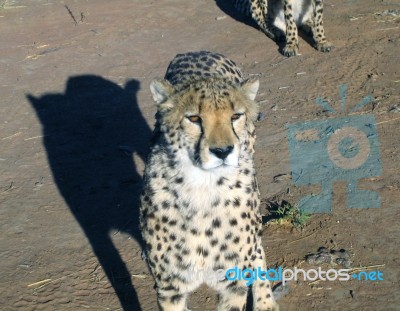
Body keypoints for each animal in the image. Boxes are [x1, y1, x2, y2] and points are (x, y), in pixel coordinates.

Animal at [140, 51, 278, 311]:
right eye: (194, 118)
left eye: (235, 116)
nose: (222, 151)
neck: (203, 184)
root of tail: (196, 52)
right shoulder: (170, 288)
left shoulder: (233, 284)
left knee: (257, 250)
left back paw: (265, 301)